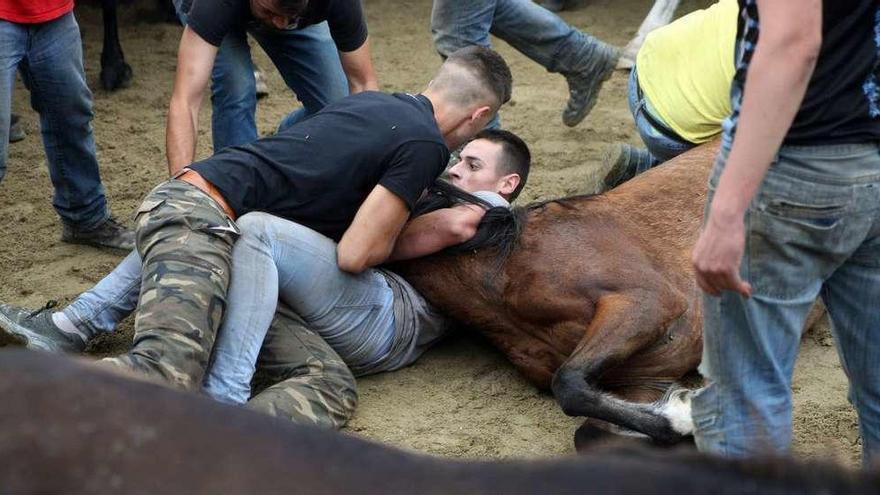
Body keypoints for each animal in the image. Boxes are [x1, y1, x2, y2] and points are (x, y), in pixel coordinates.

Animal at [394, 141, 720, 444]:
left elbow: (568, 382)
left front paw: (688, 413)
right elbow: (590, 431)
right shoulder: (648, 379)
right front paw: (682, 411)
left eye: (470, 164)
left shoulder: (648, 302)